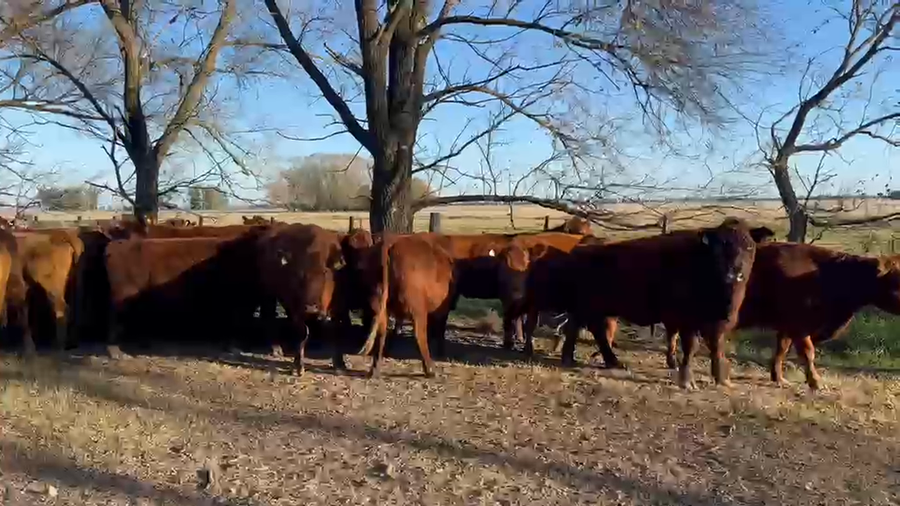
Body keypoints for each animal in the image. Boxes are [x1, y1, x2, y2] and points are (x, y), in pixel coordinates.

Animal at [256, 223, 347, 376]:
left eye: (324, 273)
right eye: (298, 274)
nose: (311, 308)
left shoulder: (336, 306)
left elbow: (334, 332)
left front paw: (339, 364)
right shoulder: (296, 309)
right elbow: (302, 334)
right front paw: (298, 366)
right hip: (269, 295)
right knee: (269, 316)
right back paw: (276, 348)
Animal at [357, 233, 456, 378]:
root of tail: (390, 243)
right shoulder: (442, 309)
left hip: (379, 305)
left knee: (381, 334)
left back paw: (374, 370)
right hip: (418, 310)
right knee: (419, 335)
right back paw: (430, 369)